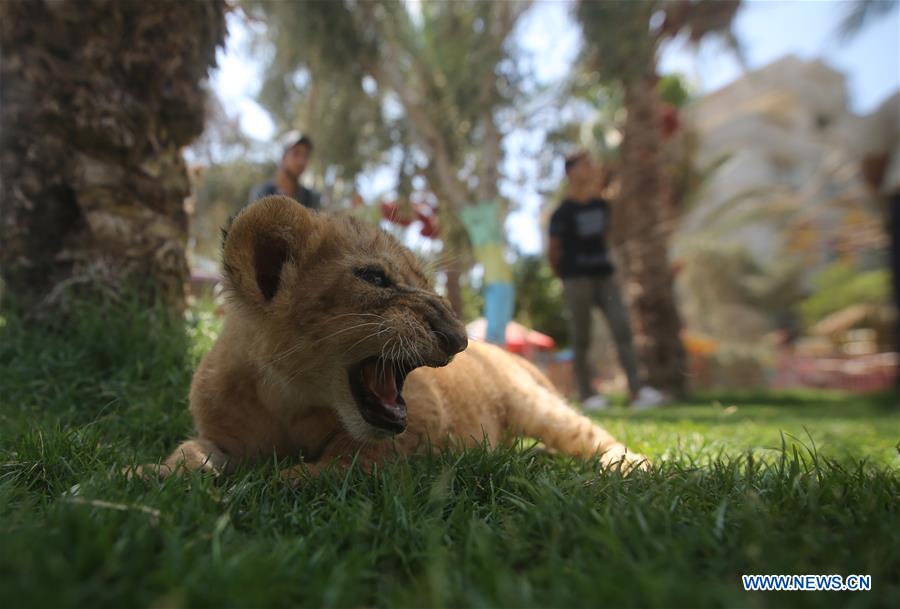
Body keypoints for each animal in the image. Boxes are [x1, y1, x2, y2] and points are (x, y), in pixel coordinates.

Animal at [142, 195, 647, 482]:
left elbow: (346, 461)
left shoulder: (423, 417)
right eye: (373, 278)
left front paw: (274, 482)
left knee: (587, 434)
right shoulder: (221, 435)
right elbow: (188, 450)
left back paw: (635, 466)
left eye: (425, 282)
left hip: (533, 402)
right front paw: (150, 473)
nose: (458, 337)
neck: (288, 396)